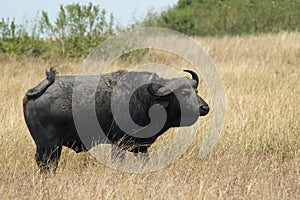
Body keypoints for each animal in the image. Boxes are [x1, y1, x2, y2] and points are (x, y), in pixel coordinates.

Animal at [22, 68, 209, 171]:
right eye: (183, 93)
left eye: (196, 91)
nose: (204, 108)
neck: (145, 100)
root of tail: (38, 89)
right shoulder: (118, 144)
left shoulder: (141, 147)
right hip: (52, 146)